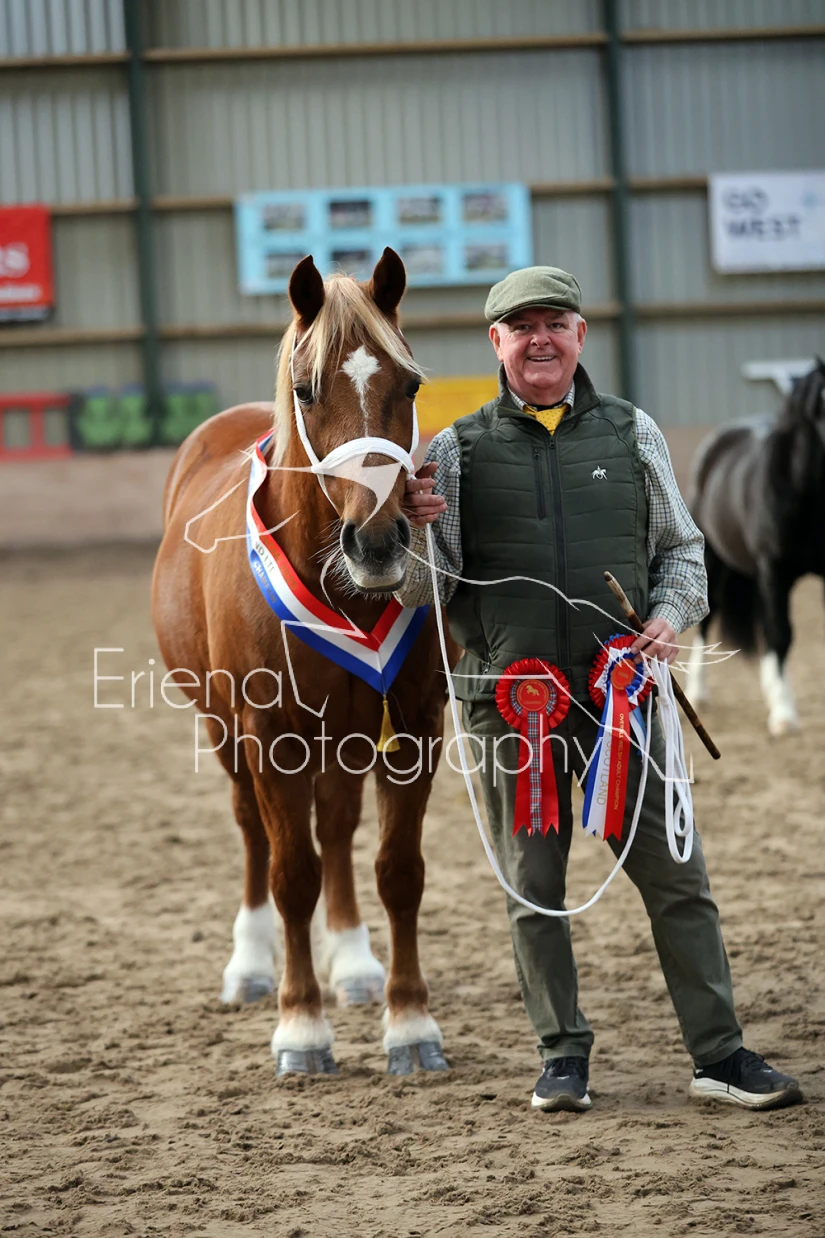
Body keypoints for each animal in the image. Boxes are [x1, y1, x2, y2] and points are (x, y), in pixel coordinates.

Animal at [152, 249, 454, 1077]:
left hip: (346, 736)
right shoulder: (271, 736)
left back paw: (353, 966)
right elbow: (292, 875)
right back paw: (251, 967)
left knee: (339, 830)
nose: (378, 543)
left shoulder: (412, 728)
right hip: (224, 730)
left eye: (409, 385)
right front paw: (300, 1029)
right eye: (306, 389)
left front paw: (409, 1024)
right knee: (255, 833)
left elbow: (396, 870)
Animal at [686, 359, 825, 735]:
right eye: (821, 405)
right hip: (713, 562)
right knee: (708, 620)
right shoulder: (774, 569)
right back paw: (697, 692)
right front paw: (784, 715)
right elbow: (781, 634)